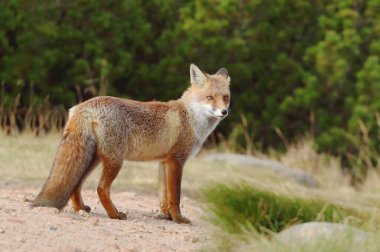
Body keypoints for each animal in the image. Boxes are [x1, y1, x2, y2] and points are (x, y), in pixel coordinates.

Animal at [32, 64, 230, 223]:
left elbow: (163, 196)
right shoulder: (176, 160)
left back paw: (81, 208)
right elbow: (175, 197)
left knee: (76, 184)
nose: (224, 112)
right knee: (101, 188)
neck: (190, 118)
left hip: (93, 158)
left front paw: (167, 216)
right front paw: (179, 219)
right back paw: (115, 215)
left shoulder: (163, 161)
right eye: (210, 97)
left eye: (226, 97)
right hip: (115, 160)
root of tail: (85, 105)